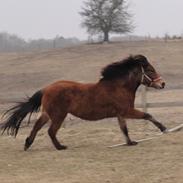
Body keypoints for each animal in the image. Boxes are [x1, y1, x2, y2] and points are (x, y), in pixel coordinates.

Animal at [1, 54, 167, 150]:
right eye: (150, 70)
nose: (163, 84)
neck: (119, 86)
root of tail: (46, 88)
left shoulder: (120, 114)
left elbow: (124, 129)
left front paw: (130, 142)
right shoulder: (127, 111)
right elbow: (147, 115)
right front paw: (163, 128)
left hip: (47, 114)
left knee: (37, 126)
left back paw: (28, 143)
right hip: (59, 115)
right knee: (51, 131)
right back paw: (60, 147)